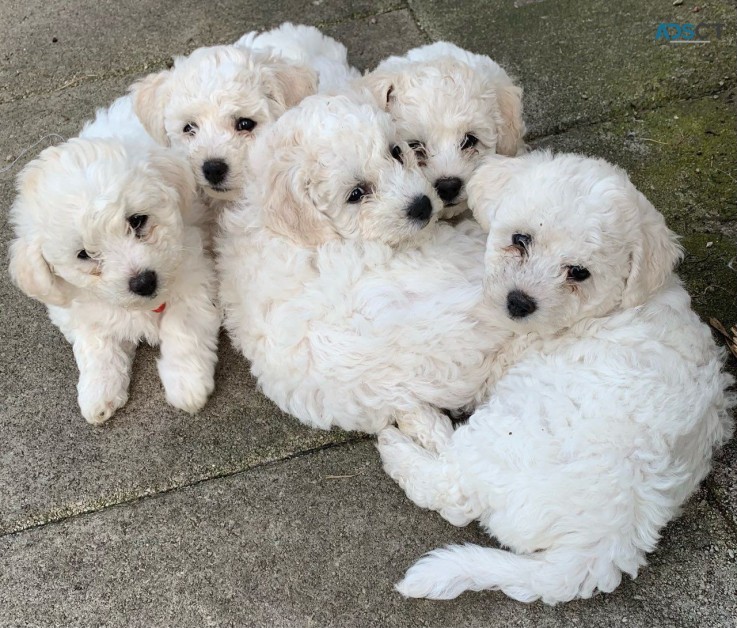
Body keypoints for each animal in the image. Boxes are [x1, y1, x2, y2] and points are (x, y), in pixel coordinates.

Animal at [7, 95, 218, 424]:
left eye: (137, 220)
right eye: (84, 254)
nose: (144, 282)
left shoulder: (193, 273)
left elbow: (183, 327)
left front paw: (187, 386)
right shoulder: (77, 309)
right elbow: (97, 345)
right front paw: (98, 393)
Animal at [376, 151, 732, 604]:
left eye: (578, 273)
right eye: (521, 239)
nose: (518, 303)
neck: (608, 308)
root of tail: (603, 546)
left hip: (511, 428)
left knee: (455, 486)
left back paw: (407, 435)